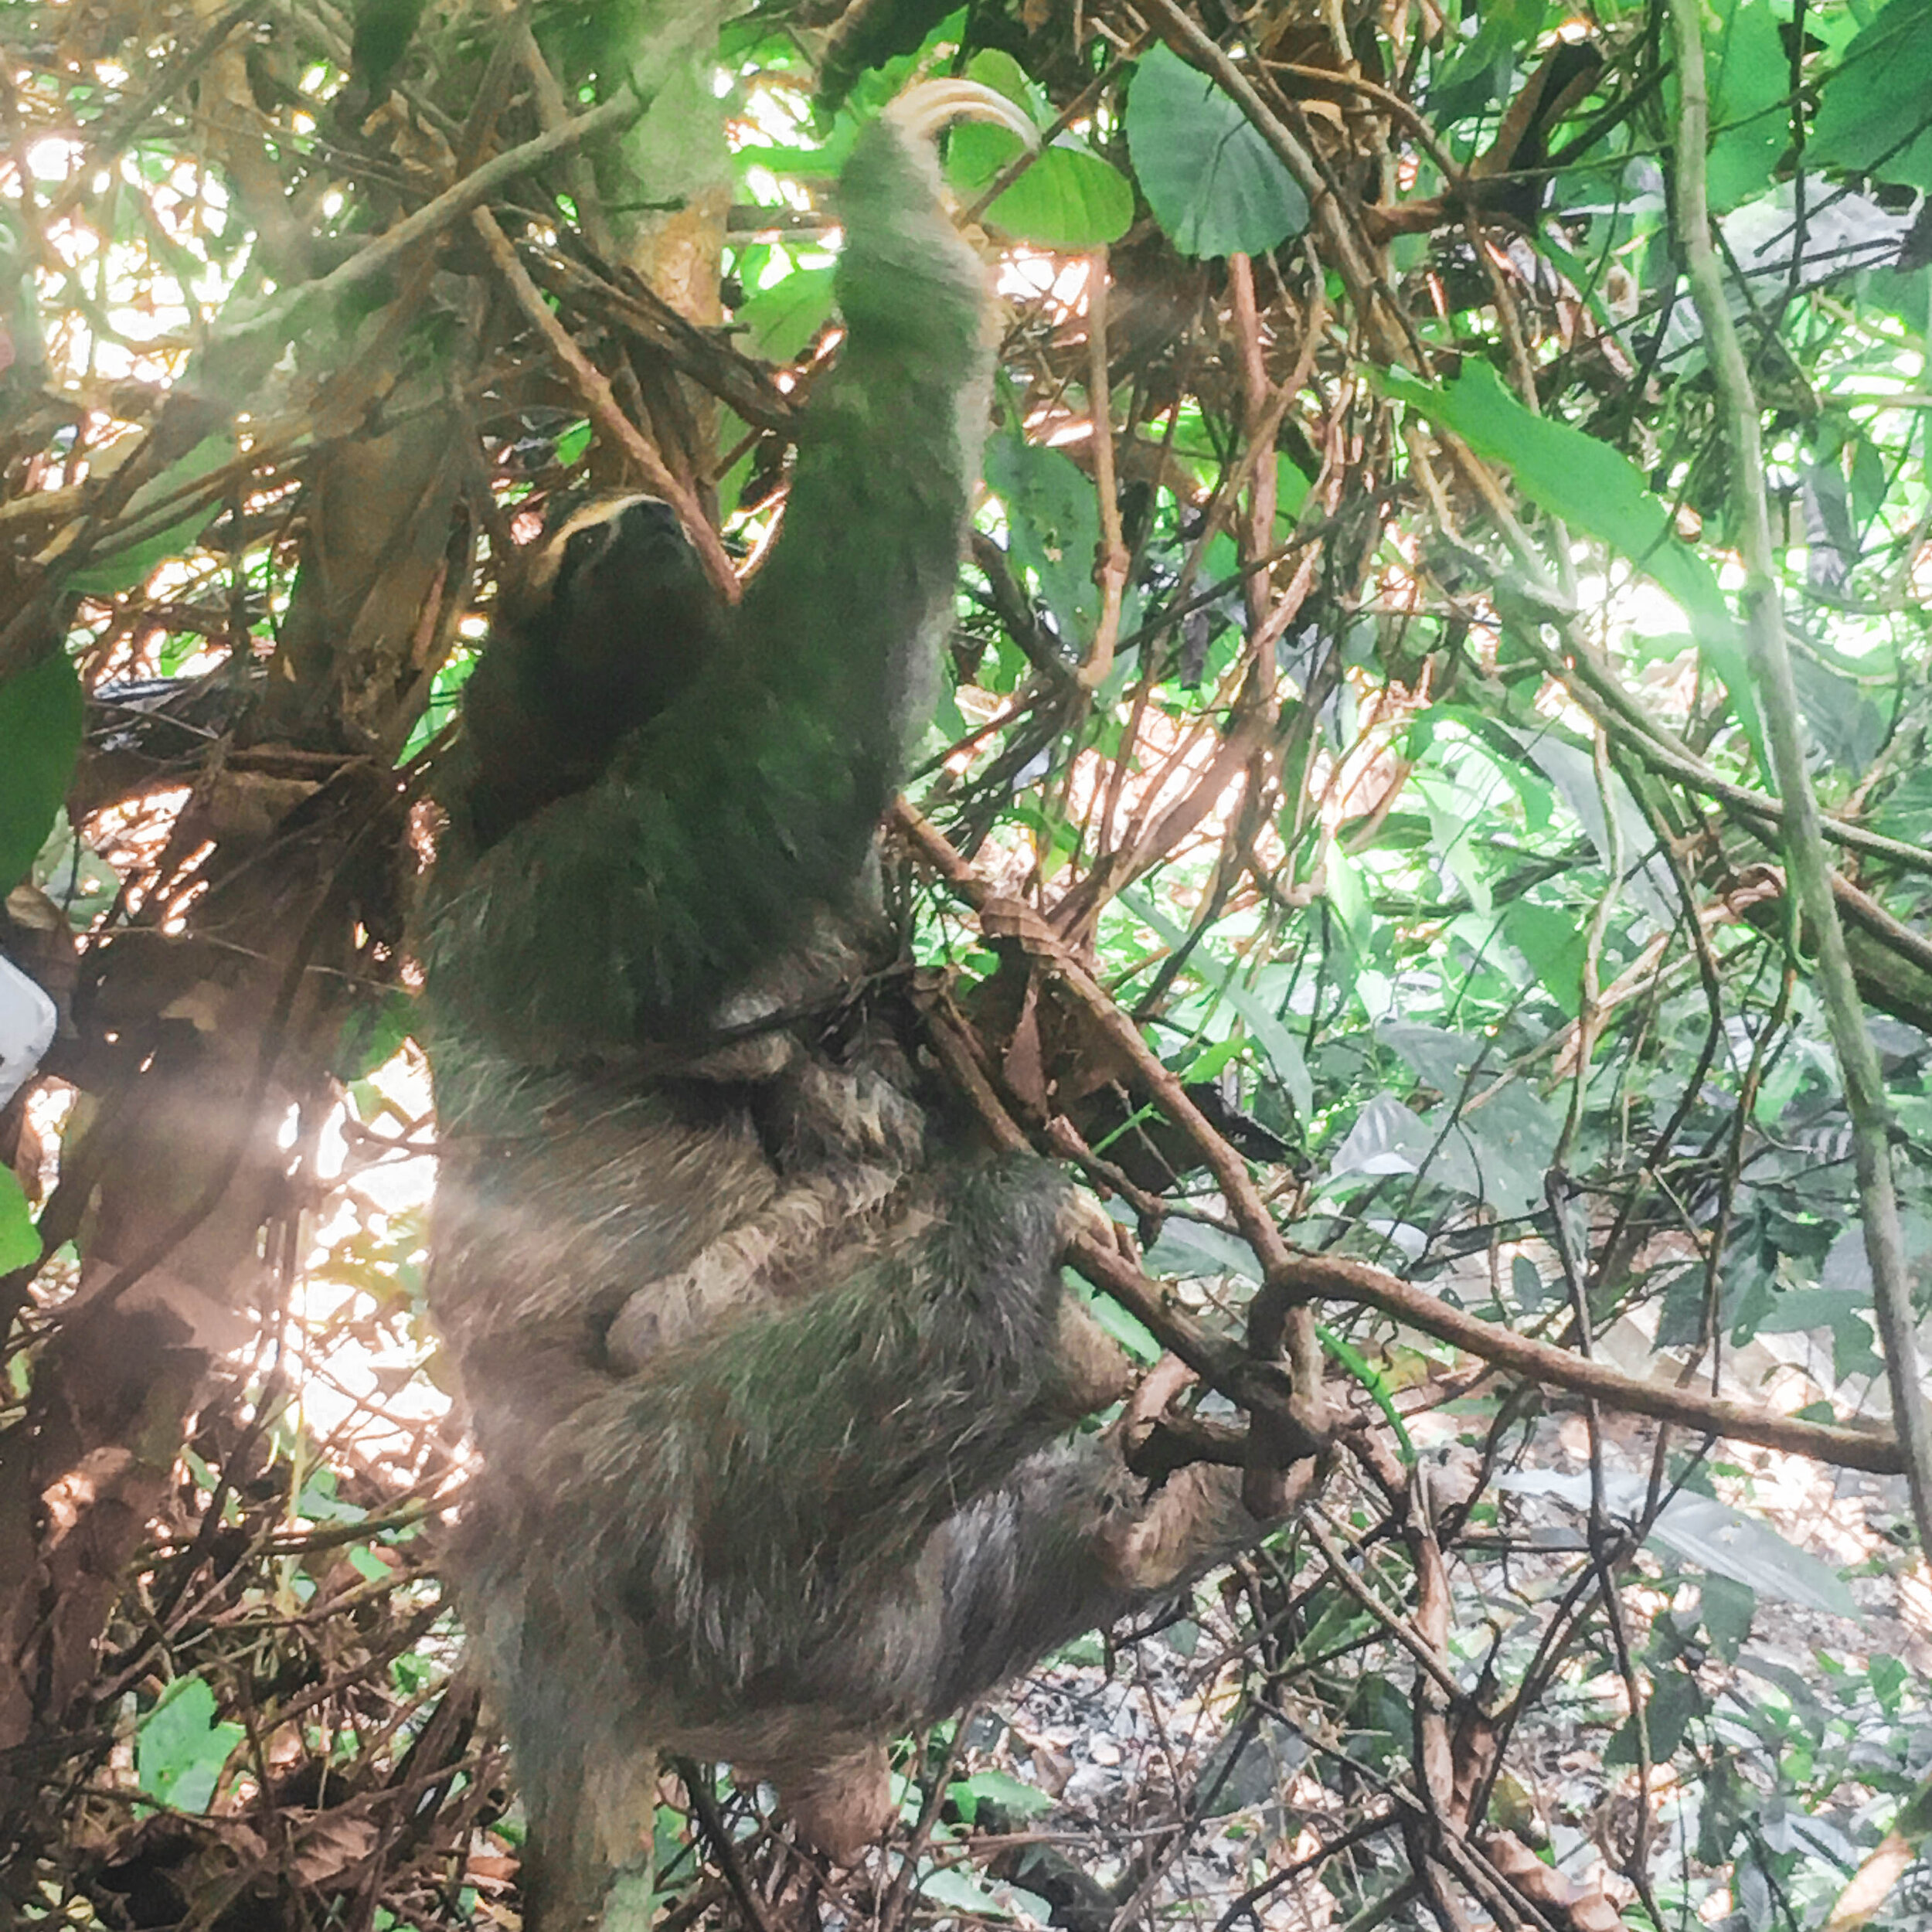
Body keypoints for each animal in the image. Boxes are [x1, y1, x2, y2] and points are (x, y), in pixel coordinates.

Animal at [417, 82, 1280, 1932]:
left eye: (622, 524)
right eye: (569, 554)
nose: (642, 522)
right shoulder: (540, 901)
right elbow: (770, 767)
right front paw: (912, 247)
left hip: (888, 1609)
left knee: (1020, 1556)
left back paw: (1203, 1488)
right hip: (654, 1528)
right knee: (968, 1286)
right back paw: (1085, 1336)